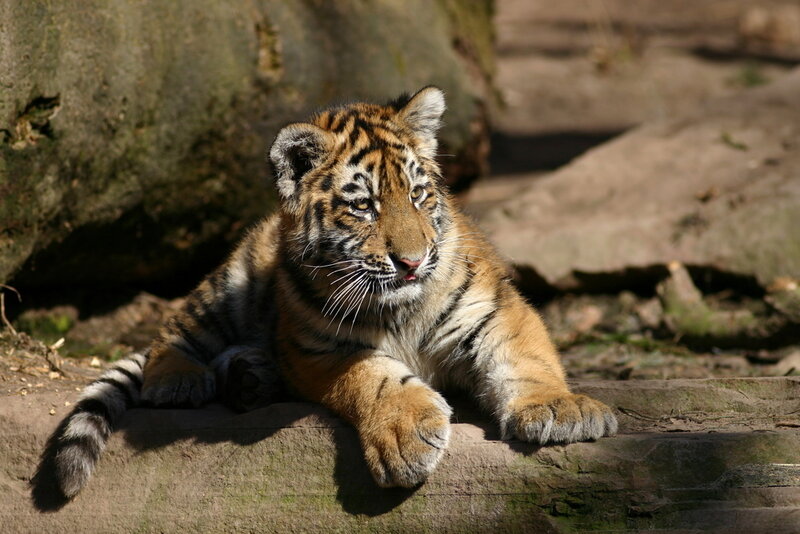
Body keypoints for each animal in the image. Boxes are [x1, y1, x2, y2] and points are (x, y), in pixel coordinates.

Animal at [40, 87, 617, 498]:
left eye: (418, 194)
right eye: (363, 206)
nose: (412, 262)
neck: (399, 309)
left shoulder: (496, 310)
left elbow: (527, 360)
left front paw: (563, 411)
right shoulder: (318, 348)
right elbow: (374, 379)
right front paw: (407, 435)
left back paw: (250, 378)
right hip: (232, 281)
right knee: (176, 330)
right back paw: (179, 380)